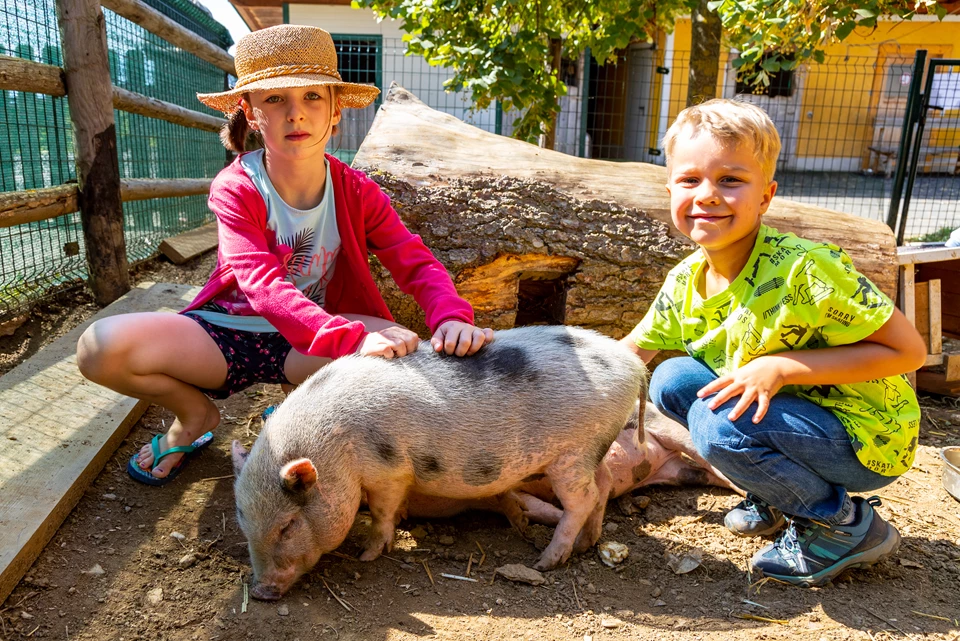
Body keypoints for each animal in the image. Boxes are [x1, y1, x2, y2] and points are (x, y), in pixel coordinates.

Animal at [232, 324, 644, 600]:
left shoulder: (390, 470)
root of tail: (634, 366)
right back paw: (587, 545)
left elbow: (382, 511)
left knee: (582, 499)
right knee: (604, 483)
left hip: (572, 453)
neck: (335, 449)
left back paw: (546, 561)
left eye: (287, 525)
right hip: (592, 449)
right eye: (244, 524)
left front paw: (368, 554)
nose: (262, 592)